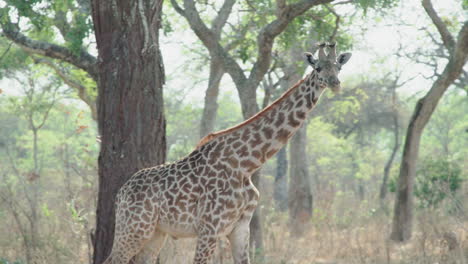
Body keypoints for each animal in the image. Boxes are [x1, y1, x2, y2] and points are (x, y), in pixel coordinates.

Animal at [102, 43, 352, 264]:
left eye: (338, 68)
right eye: (318, 68)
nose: (335, 84)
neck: (247, 164)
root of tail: (120, 193)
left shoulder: (240, 226)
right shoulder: (210, 227)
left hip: (156, 232)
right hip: (134, 227)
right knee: (113, 259)